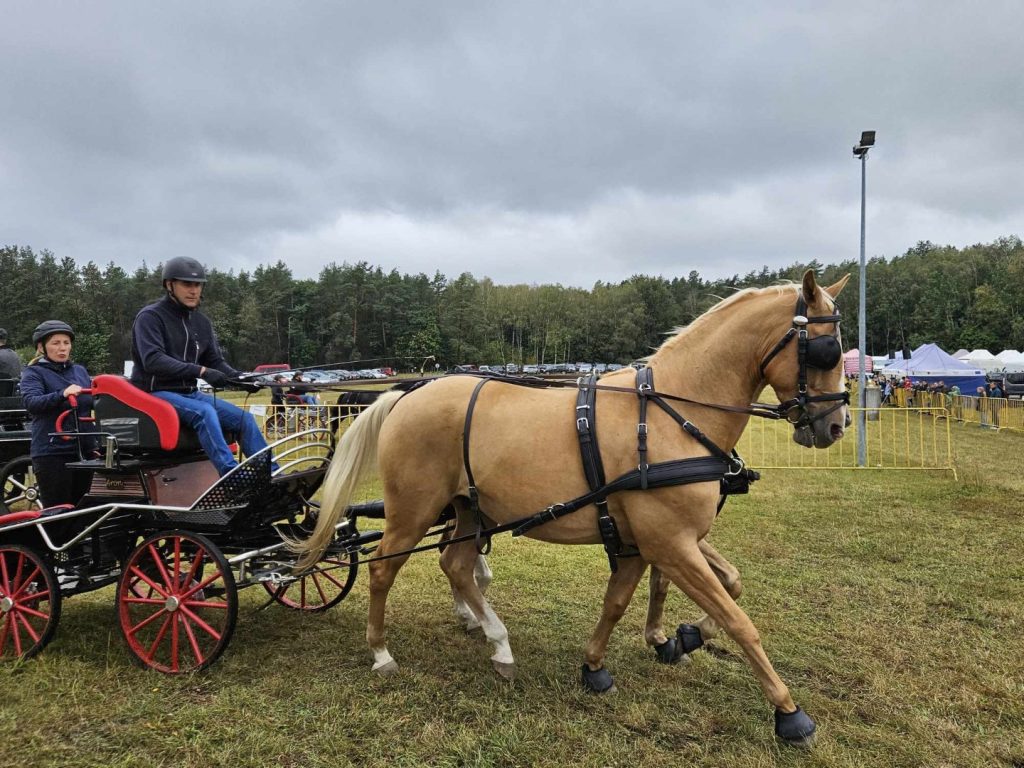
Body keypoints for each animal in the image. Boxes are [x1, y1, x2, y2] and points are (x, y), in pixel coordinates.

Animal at [294, 270, 847, 745]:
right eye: (829, 349)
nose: (836, 425)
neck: (671, 413)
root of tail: (407, 393)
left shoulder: (659, 539)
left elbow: (677, 592)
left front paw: (647, 649)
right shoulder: (668, 541)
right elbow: (737, 620)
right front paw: (789, 712)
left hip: (470, 511)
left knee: (455, 564)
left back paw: (498, 642)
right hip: (413, 511)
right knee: (383, 572)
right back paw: (382, 652)